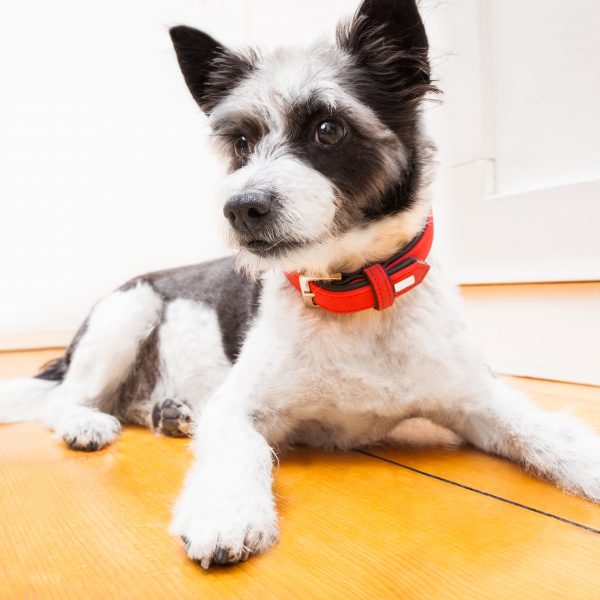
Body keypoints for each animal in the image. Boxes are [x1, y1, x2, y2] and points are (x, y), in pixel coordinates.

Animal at [1, 0, 600, 568]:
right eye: (241, 143)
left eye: (328, 129)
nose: (240, 208)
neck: (352, 297)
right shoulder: (237, 407)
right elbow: (240, 446)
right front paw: (227, 512)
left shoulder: (476, 399)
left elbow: (541, 429)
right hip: (127, 313)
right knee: (66, 399)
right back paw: (88, 423)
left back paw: (171, 414)